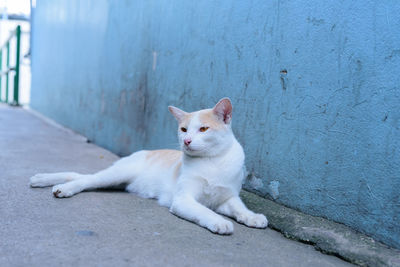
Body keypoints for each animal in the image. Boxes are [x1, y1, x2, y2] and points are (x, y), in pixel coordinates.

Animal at [29, 98, 268, 234]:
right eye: (183, 129)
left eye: (203, 129)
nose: (186, 141)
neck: (212, 160)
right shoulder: (183, 199)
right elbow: (204, 210)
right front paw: (219, 222)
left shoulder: (227, 198)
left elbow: (239, 208)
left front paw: (252, 217)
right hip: (116, 174)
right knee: (85, 179)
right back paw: (61, 187)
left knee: (81, 177)